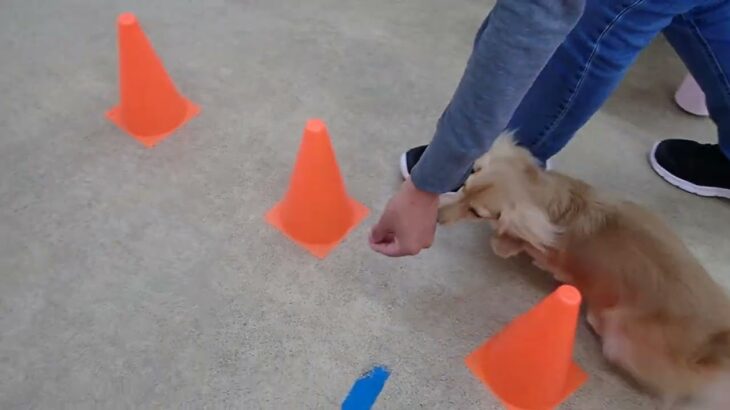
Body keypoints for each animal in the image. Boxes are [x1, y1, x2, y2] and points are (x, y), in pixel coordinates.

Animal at [438, 136, 728, 408]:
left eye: (477, 213)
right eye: (465, 183)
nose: (439, 217)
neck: (561, 206)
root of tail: (714, 342)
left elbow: (507, 242)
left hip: (618, 338)